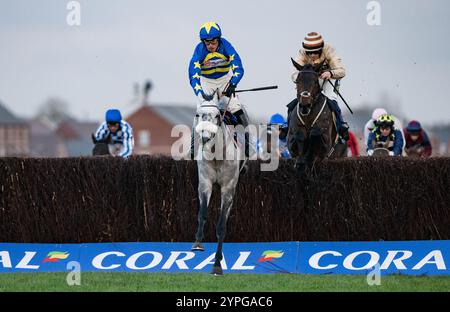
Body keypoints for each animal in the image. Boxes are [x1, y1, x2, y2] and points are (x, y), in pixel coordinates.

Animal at [192, 100, 244, 276]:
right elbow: (202, 214)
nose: (205, 137)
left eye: (217, 116)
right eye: (198, 114)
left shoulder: (228, 189)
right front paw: (198, 243)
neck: (216, 155)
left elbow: (221, 226)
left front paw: (216, 264)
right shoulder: (205, 183)